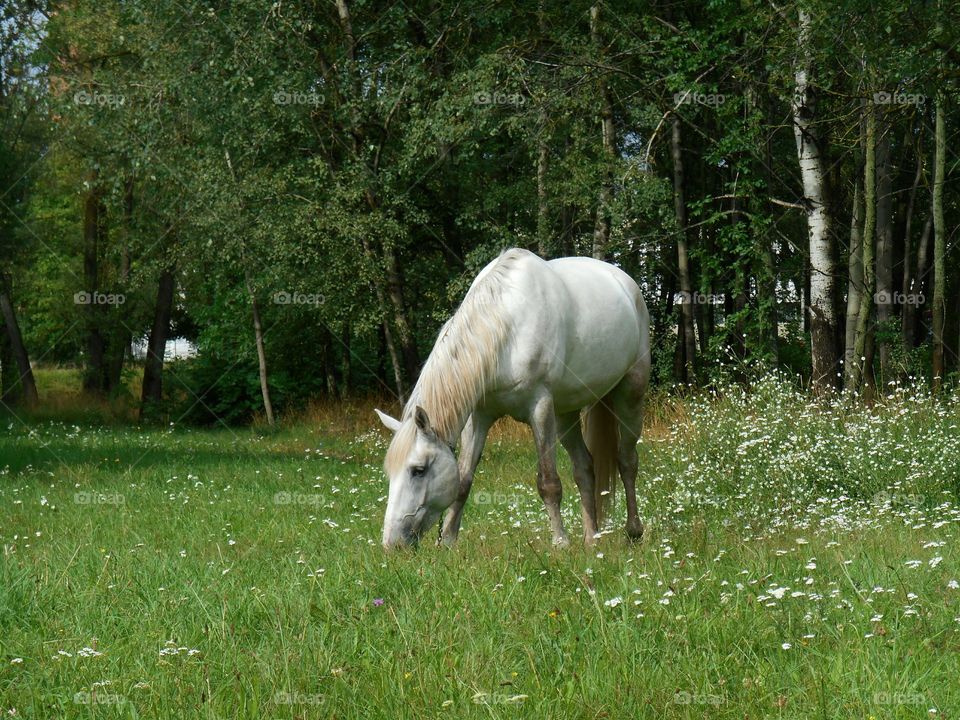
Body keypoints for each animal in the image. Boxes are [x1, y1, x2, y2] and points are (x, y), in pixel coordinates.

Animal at [376, 246, 652, 544]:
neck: (506, 329)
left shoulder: (540, 408)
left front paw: (560, 543)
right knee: (584, 467)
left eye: (418, 470)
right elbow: (463, 481)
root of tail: (626, 282)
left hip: (630, 395)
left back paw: (634, 530)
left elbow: (549, 482)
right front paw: (448, 541)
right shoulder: (478, 417)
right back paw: (592, 541)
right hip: (565, 413)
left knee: (627, 460)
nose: (392, 544)